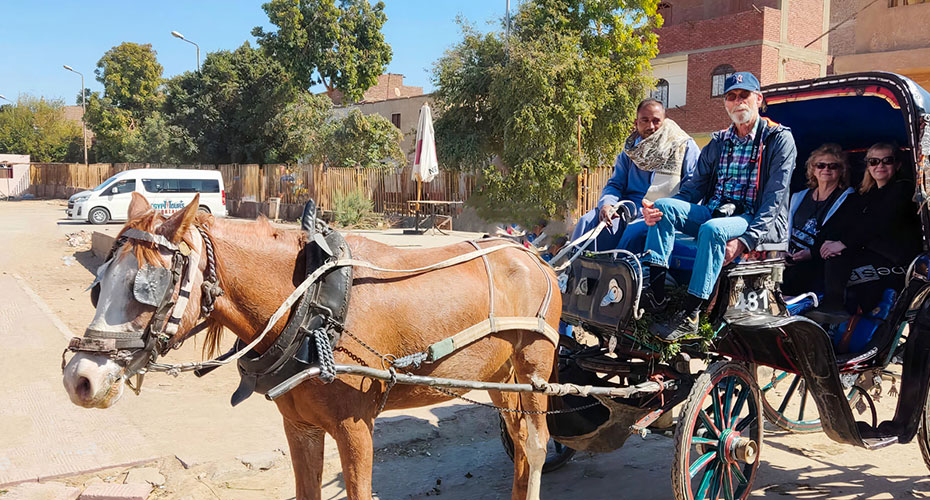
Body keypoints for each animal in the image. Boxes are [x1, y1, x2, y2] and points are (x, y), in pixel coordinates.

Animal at [65, 192, 560, 500]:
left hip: (533, 373)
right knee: (518, 443)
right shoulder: (300, 426)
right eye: (98, 284)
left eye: (149, 286)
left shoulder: (356, 427)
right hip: (500, 380)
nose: (80, 378)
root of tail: (534, 256)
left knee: (535, 446)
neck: (311, 304)